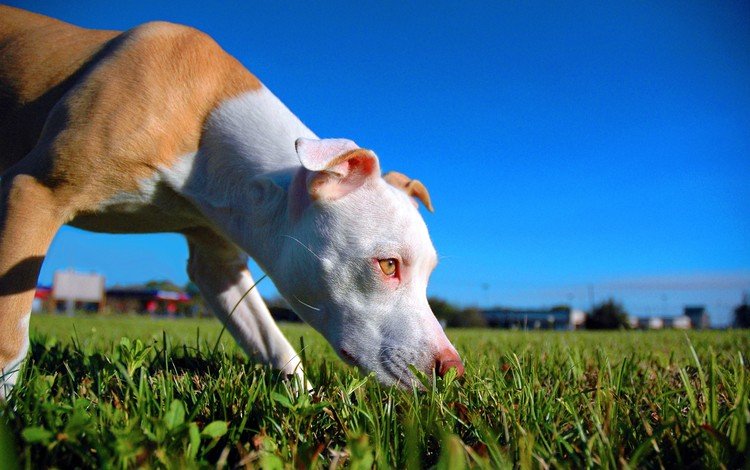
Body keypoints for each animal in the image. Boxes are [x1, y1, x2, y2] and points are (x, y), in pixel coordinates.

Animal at [0, 7, 464, 396]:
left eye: (429, 274)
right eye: (388, 265)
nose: (453, 370)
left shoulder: (217, 261)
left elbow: (273, 343)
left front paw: (308, 402)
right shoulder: (34, 190)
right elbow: (10, 336)